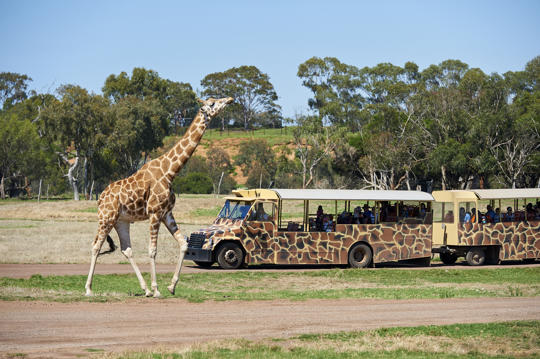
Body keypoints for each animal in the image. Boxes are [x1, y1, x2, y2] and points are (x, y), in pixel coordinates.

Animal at [85, 96, 233, 298]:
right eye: (211, 103)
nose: (230, 99)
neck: (170, 172)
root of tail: (100, 198)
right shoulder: (154, 212)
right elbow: (152, 250)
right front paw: (157, 289)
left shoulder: (167, 213)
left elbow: (183, 244)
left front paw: (171, 286)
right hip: (106, 218)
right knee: (96, 246)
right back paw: (89, 289)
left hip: (121, 221)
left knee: (126, 249)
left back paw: (144, 289)